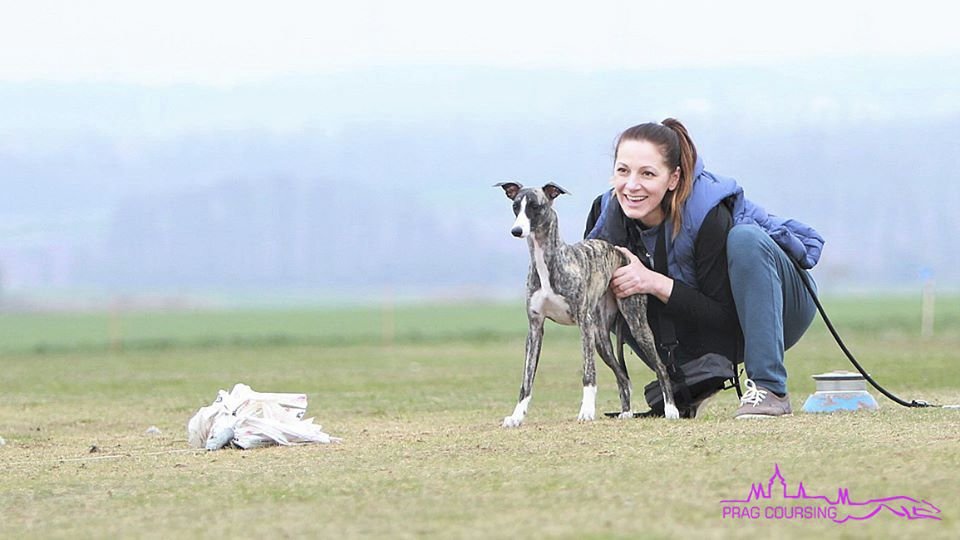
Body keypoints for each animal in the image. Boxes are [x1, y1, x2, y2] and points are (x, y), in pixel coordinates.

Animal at [498, 181, 680, 426]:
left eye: (536, 206)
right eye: (516, 206)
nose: (516, 231)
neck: (549, 264)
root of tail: (621, 253)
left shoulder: (583, 323)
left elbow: (588, 373)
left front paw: (586, 411)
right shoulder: (535, 327)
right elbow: (527, 380)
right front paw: (516, 416)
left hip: (635, 323)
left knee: (660, 367)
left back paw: (671, 410)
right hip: (601, 337)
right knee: (623, 377)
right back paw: (626, 412)